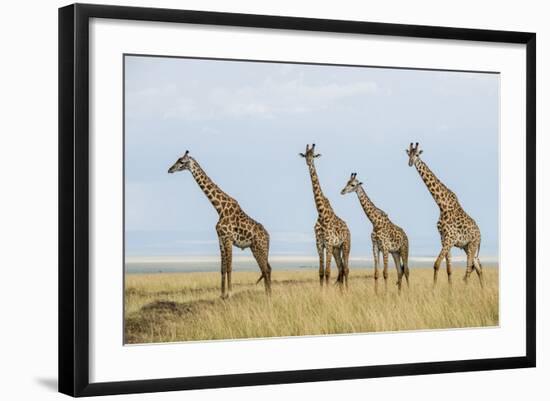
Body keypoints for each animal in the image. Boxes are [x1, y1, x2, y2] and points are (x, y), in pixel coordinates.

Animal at [167, 150, 272, 296]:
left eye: (182, 161)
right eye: (177, 160)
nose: (170, 169)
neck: (219, 208)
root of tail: (268, 236)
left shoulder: (228, 238)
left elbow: (229, 267)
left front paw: (230, 293)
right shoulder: (221, 239)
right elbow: (222, 268)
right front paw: (222, 295)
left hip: (259, 248)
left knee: (265, 269)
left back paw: (268, 295)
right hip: (257, 248)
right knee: (267, 268)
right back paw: (268, 294)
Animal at [300, 144, 352, 288]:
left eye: (313, 155)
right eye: (305, 155)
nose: (309, 162)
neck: (321, 213)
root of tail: (348, 230)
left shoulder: (328, 243)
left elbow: (328, 272)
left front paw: (326, 292)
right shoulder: (319, 244)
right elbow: (321, 272)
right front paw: (322, 291)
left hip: (345, 245)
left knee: (346, 269)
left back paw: (347, 290)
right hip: (336, 249)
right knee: (341, 268)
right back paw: (341, 291)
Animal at [408, 142, 486, 286]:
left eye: (417, 155)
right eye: (408, 154)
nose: (410, 163)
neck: (442, 205)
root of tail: (480, 235)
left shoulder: (450, 239)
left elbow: (436, 264)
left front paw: (434, 289)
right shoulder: (444, 238)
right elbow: (449, 269)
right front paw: (450, 289)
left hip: (472, 246)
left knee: (469, 268)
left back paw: (466, 288)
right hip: (467, 247)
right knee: (478, 267)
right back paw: (482, 290)